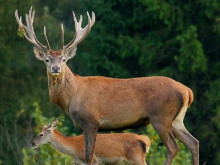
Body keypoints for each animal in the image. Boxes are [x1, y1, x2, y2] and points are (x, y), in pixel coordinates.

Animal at [16, 7, 199, 164]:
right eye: (47, 60)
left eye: (64, 59)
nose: (55, 69)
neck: (72, 97)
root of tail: (187, 91)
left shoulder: (90, 120)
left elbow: (89, 156)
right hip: (177, 119)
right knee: (193, 142)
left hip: (161, 117)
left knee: (173, 147)